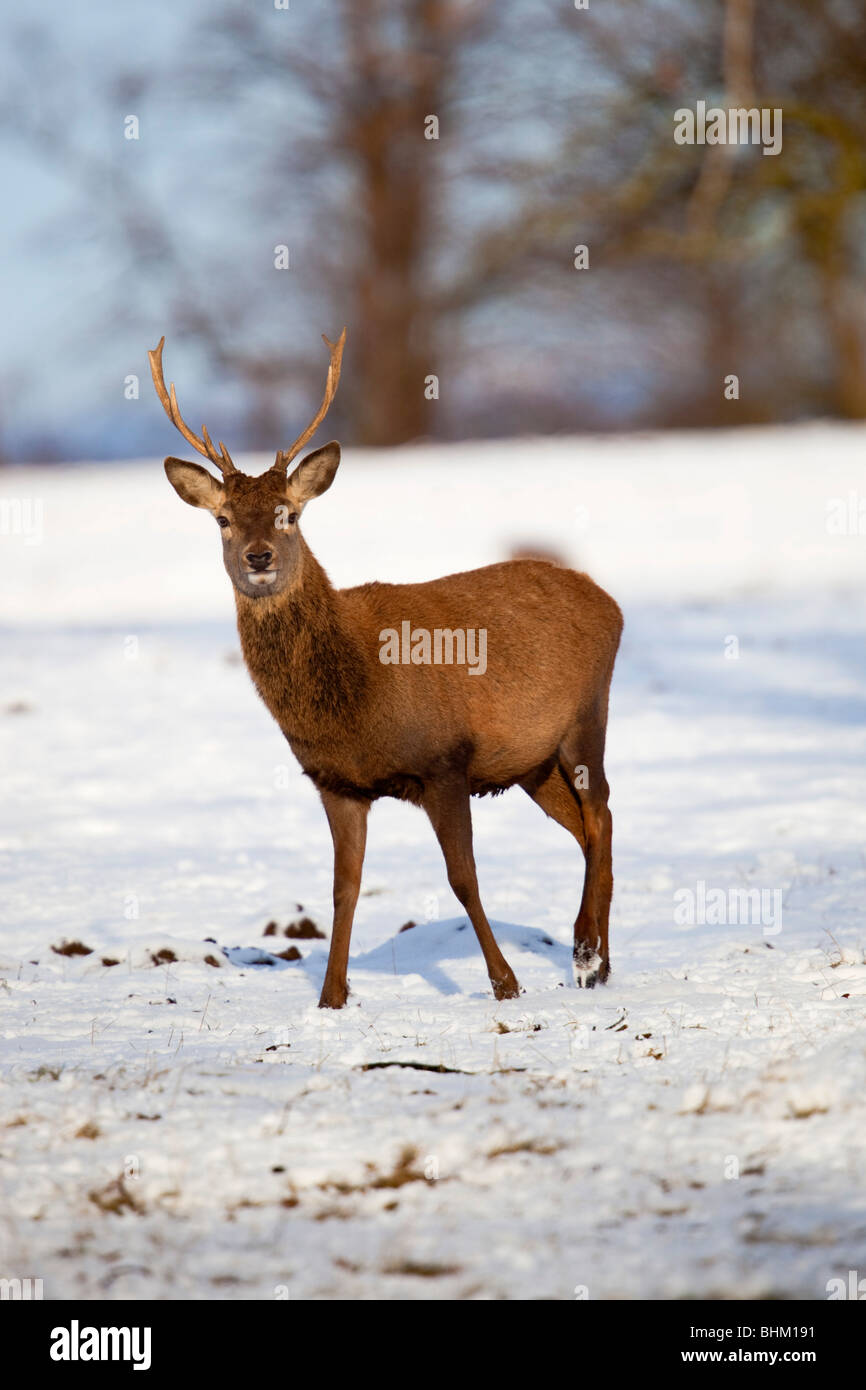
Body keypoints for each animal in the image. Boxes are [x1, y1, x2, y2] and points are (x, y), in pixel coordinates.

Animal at [148, 329, 622, 1006]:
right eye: (223, 519)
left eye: (290, 512)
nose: (259, 556)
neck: (355, 695)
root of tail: (609, 601)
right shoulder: (337, 782)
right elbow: (343, 889)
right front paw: (330, 998)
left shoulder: (444, 759)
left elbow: (463, 877)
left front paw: (505, 984)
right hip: (531, 761)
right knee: (588, 828)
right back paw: (599, 962)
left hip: (587, 714)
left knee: (601, 815)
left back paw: (586, 956)